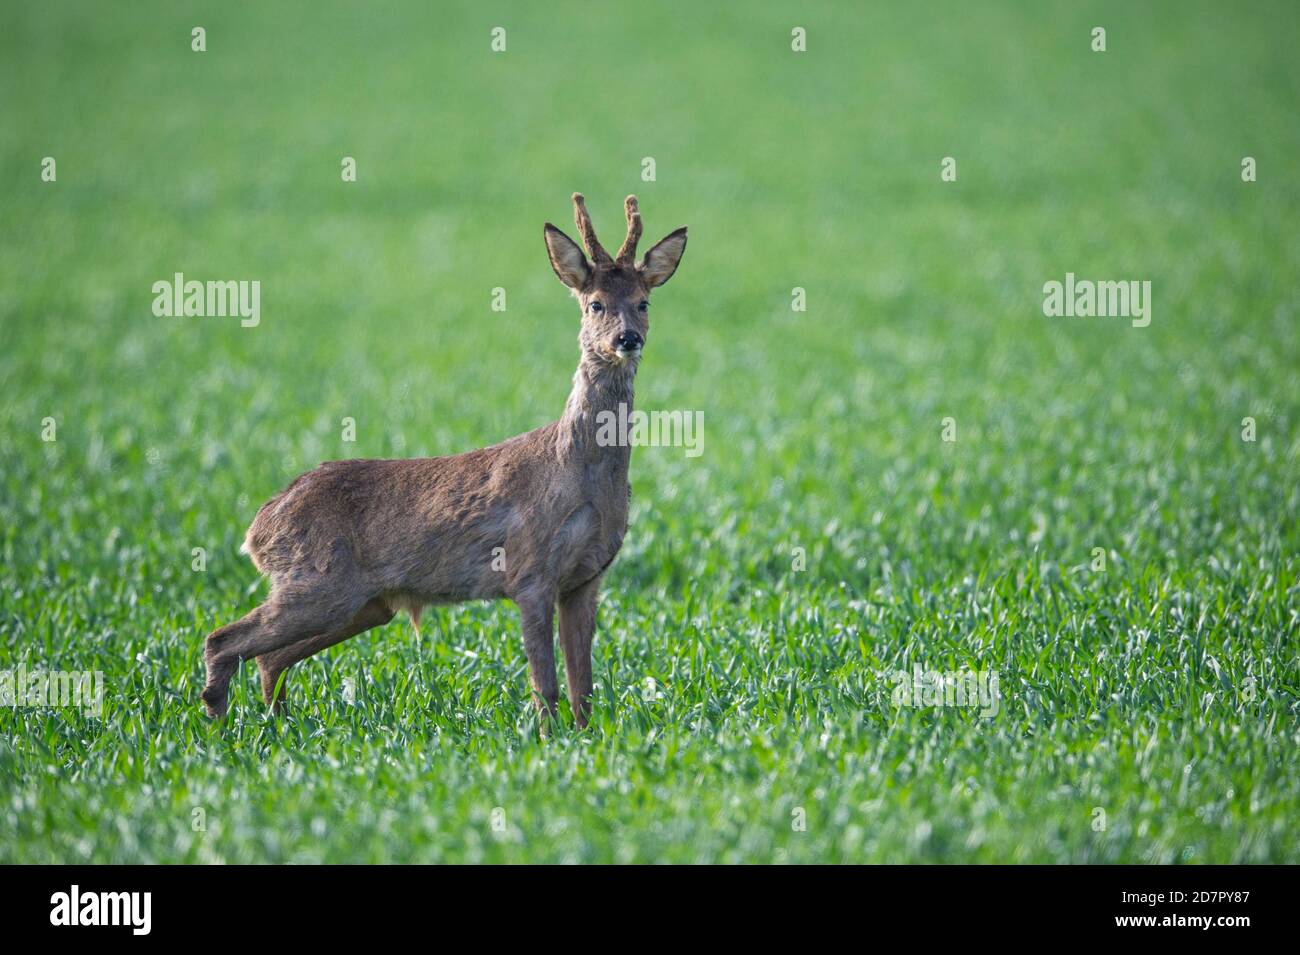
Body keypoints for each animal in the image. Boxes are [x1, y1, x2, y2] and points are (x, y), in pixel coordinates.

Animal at [200, 193, 688, 730]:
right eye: (595, 303)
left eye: (643, 302)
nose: (627, 339)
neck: (580, 474)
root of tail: (259, 526)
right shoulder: (529, 571)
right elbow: (547, 685)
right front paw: (547, 738)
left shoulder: (586, 579)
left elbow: (585, 689)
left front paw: (585, 738)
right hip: (318, 582)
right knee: (223, 640)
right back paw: (221, 726)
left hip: (361, 603)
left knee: (267, 657)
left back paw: (278, 724)